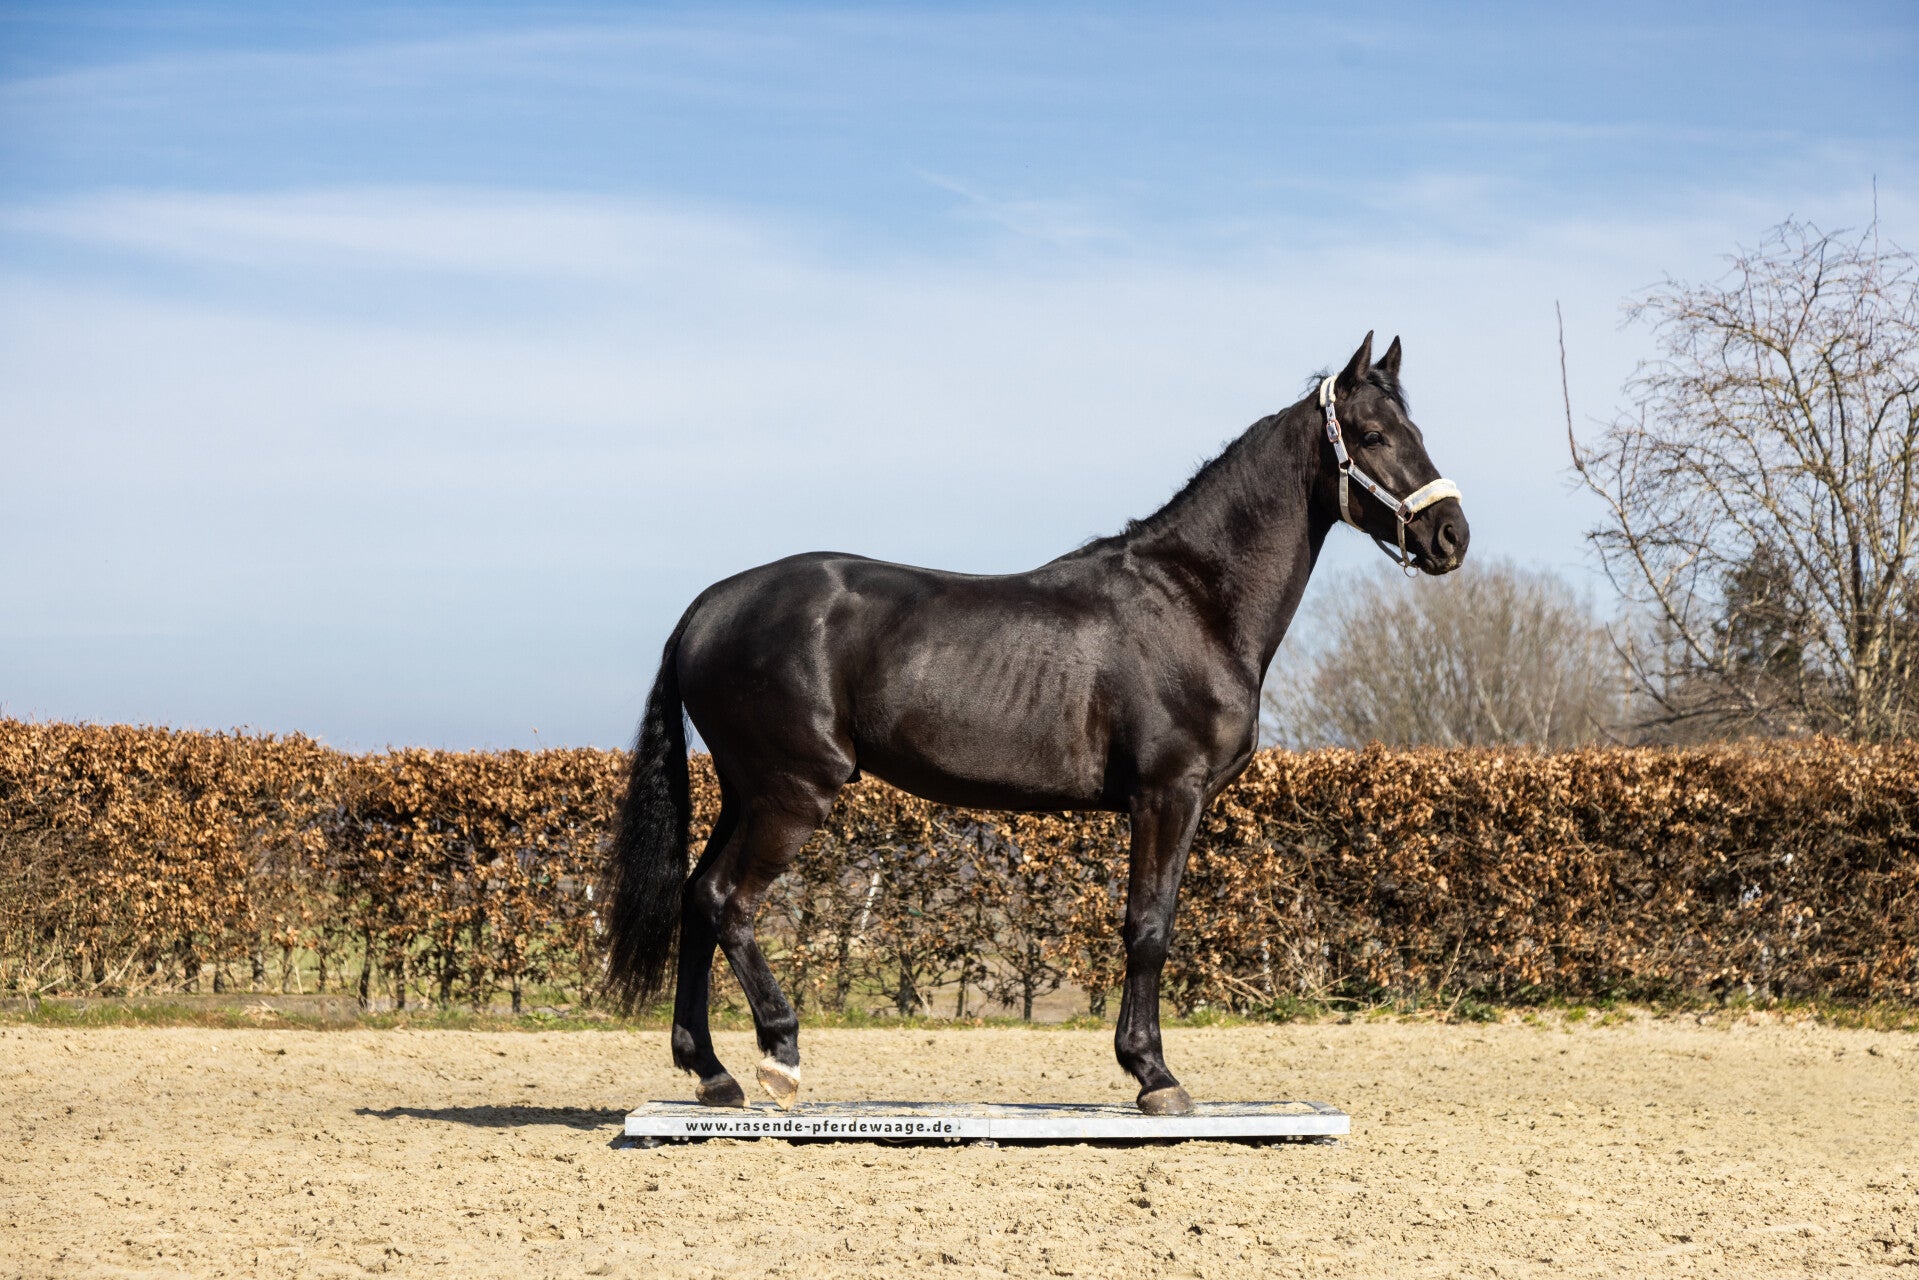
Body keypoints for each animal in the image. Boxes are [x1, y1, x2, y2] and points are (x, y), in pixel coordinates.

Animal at [603, 332, 1468, 1115]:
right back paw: (779, 1057)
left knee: (694, 898)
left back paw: (712, 1074)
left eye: (1417, 431)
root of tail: (709, 606)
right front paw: (1153, 1077)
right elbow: (1147, 927)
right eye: (1371, 436)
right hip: (793, 792)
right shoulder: (1168, 795)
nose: (1451, 536)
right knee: (725, 900)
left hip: (747, 793)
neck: (1191, 600)